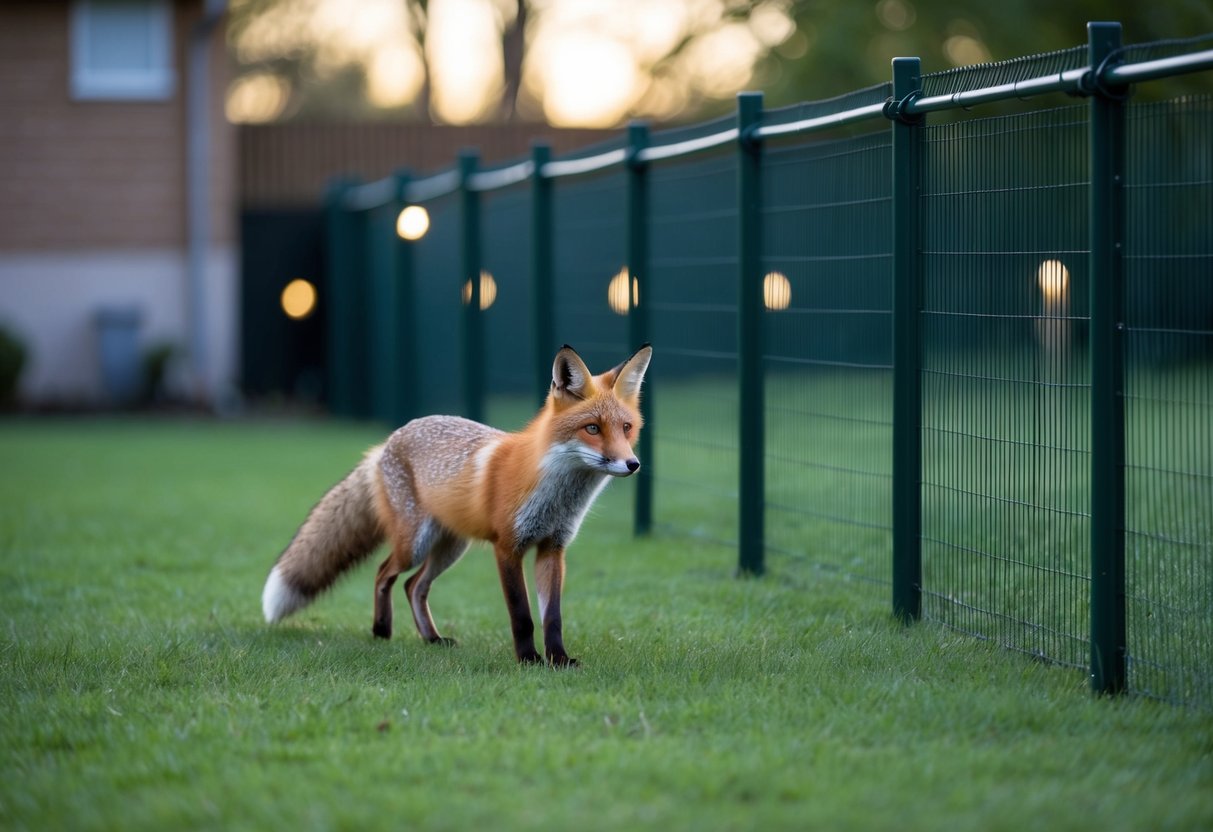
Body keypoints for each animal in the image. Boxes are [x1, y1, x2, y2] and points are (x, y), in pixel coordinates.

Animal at [261, 344, 652, 666]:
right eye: (592, 428)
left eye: (626, 428)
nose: (632, 464)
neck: (554, 496)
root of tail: (388, 440)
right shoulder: (507, 548)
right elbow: (522, 615)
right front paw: (528, 660)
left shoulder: (552, 548)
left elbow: (552, 617)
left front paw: (558, 659)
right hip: (415, 544)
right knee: (384, 573)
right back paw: (381, 630)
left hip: (451, 547)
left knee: (413, 586)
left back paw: (431, 638)